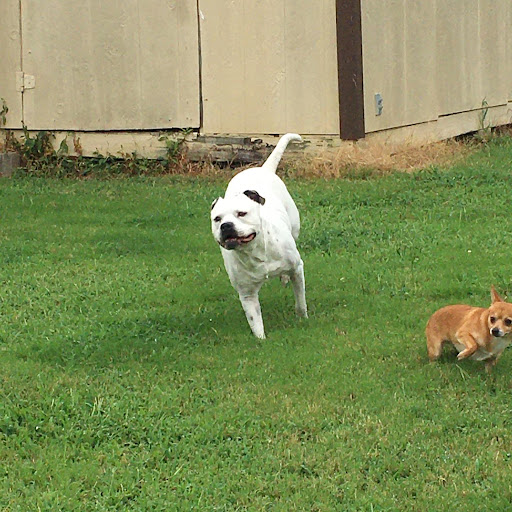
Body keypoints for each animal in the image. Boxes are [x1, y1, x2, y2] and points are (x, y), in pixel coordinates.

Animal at [210, 133, 307, 338]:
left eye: (241, 213)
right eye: (217, 219)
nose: (226, 226)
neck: (255, 251)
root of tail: (263, 168)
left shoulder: (297, 269)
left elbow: (300, 300)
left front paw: (303, 318)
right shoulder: (247, 294)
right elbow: (255, 322)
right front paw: (261, 340)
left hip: (294, 229)